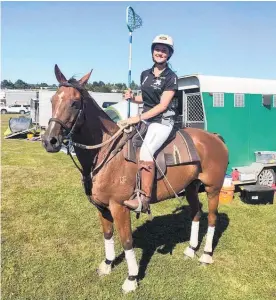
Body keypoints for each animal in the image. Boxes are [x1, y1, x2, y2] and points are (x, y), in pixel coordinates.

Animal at [41, 65, 229, 292]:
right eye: (53, 100)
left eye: (75, 103)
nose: (50, 141)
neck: (106, 152)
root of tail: (215, 137)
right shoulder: (101, 207)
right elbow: (108, 235)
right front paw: (107, 265)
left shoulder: (119, 207)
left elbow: (127, 241)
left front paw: (131, 279)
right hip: (192, 186)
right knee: (196, 213)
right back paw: (191, 250)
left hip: (213, 188)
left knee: (211, 218)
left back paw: (206, 256)